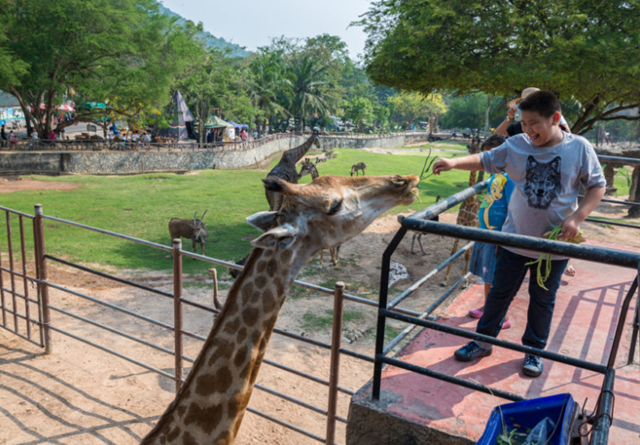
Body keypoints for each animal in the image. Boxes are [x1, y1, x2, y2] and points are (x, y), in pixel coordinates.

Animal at [442, 136, 482, 288]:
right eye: (470, 149)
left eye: (479, 149)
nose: (473, 157)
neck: (470, 201)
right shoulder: (459, 224)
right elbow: (453, 252)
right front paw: (445, 279)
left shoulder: (472, 227)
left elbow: (467, 254)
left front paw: (464, 282)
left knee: (471, 251)